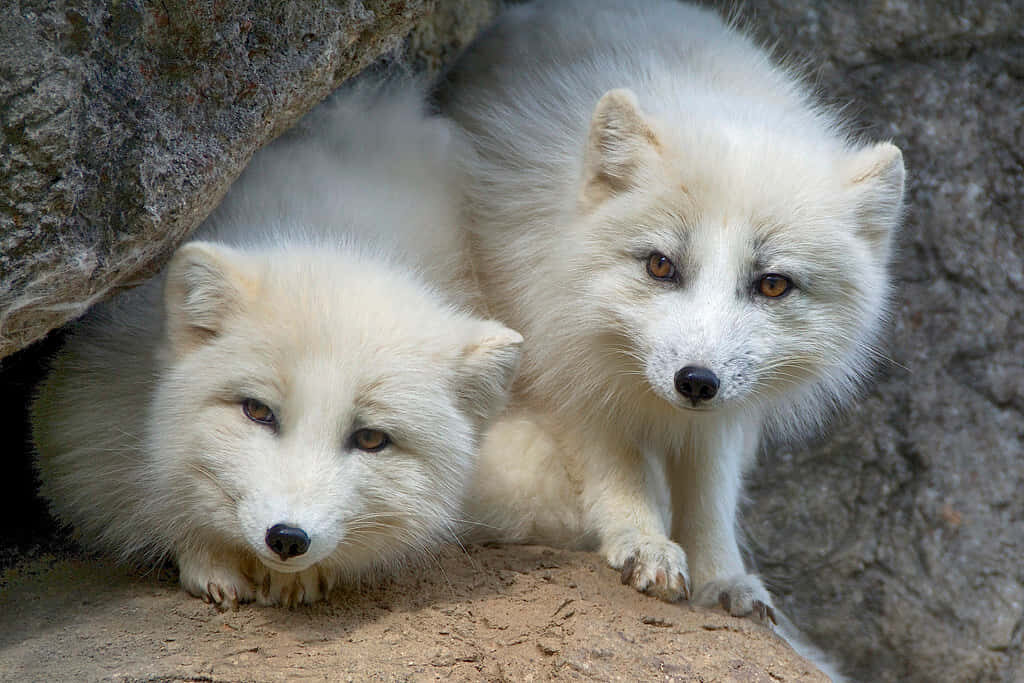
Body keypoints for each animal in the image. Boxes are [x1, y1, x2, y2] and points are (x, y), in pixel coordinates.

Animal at [31, 82, 522, 609]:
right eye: (257, 411)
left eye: (371, 439)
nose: (287, 538)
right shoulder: (85, 425)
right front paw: (207, 560)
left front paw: (298, 578)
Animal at [435, 0, 904, 676]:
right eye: (661, 266)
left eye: (772, 284)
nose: (697, 382)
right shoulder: (565, 361)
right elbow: (615, 467)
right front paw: (642, 542)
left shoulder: (727, 415)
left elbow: (711, 493)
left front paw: (723, 576)